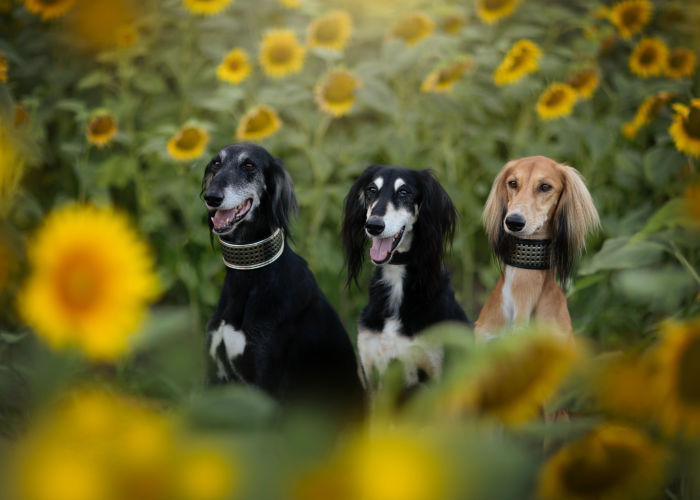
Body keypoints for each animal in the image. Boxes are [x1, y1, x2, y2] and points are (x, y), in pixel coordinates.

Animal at [201, 142, 364, 414]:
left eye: (249, 165)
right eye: (216, 163)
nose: (211, 197)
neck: (249, 277)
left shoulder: (266, 381)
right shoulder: (217, 375)